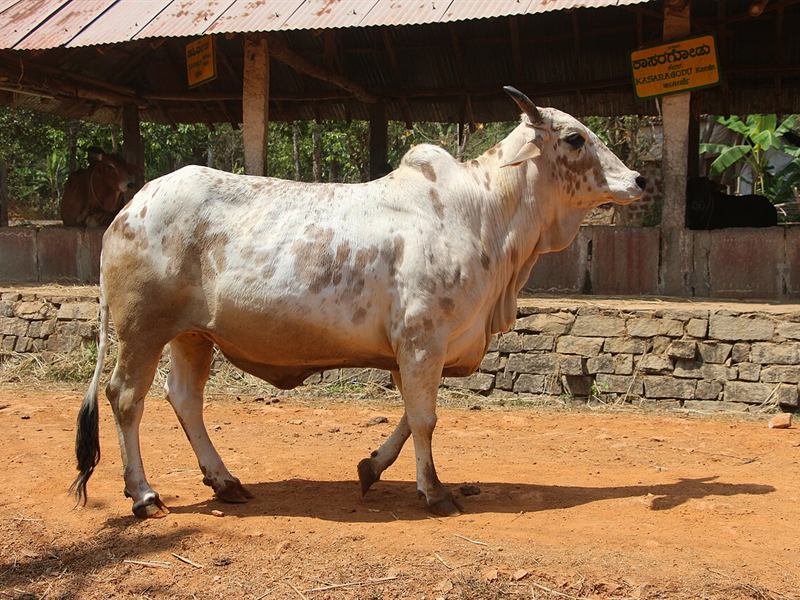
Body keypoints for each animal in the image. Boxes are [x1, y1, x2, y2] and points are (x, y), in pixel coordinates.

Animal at [71, 87, 645, 518]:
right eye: (574, 137)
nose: (639, 180)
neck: (483, 215)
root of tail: (130, 208)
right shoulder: (421, 341)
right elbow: (425, 418)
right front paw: (434, 491)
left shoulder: (419, 350)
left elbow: (411, 415)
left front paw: (371, 468)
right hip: (143, 329)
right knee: (126, 398)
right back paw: (144, 494)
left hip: (193, 335)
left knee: (185, 400)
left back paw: (226, 481)